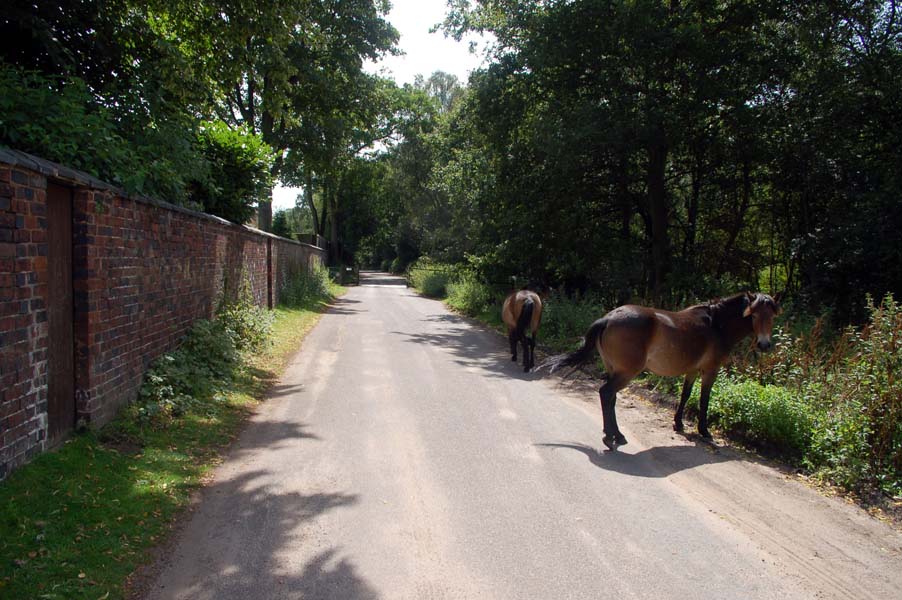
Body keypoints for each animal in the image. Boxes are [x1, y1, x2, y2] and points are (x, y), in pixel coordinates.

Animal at [540, 290, 780, 450]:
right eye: (754, 315)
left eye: (771, 316)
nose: (764, 345)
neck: (716, 326)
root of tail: (608, 318)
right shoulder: (709, 370)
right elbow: (704, 400)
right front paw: (704, 431)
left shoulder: (692, 370)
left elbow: (685, 395)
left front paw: (679, 424)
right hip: (626, 373)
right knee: (606, 393)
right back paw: (611, 437)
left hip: (614, 369)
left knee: (610, 398)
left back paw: (616, 435)